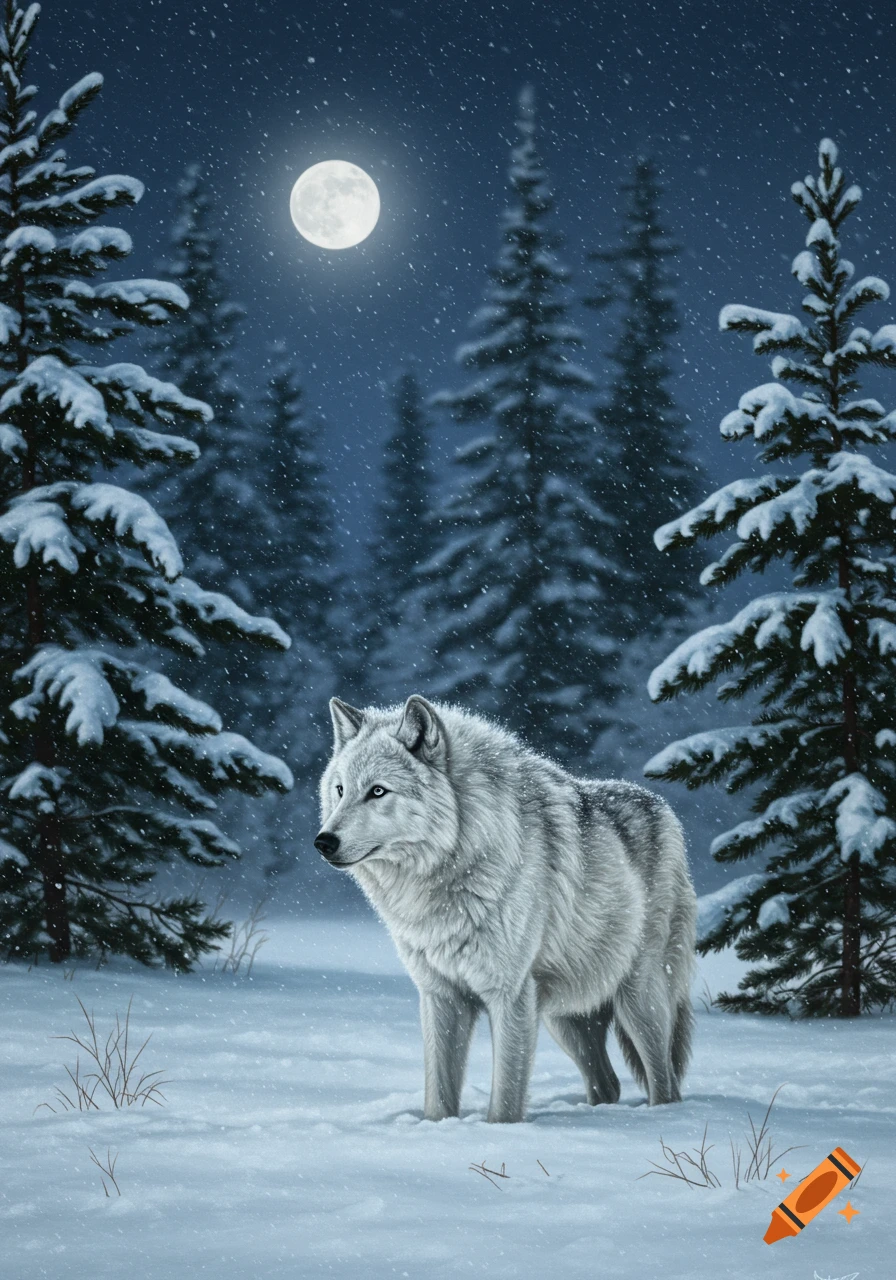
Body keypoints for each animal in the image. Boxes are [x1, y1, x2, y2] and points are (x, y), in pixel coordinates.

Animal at [315, 695, 697, 1124]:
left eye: (378, 791)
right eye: (340, 790)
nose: (323, 841)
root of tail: (662, 807)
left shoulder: (509, 995)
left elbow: (507, 1095)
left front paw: (500, 1133)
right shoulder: (440, 996)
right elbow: (439, 1093)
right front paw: (437, 1129)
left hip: (638, 1001)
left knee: (664, 1082)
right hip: (563, 1018)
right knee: (608, 1084)